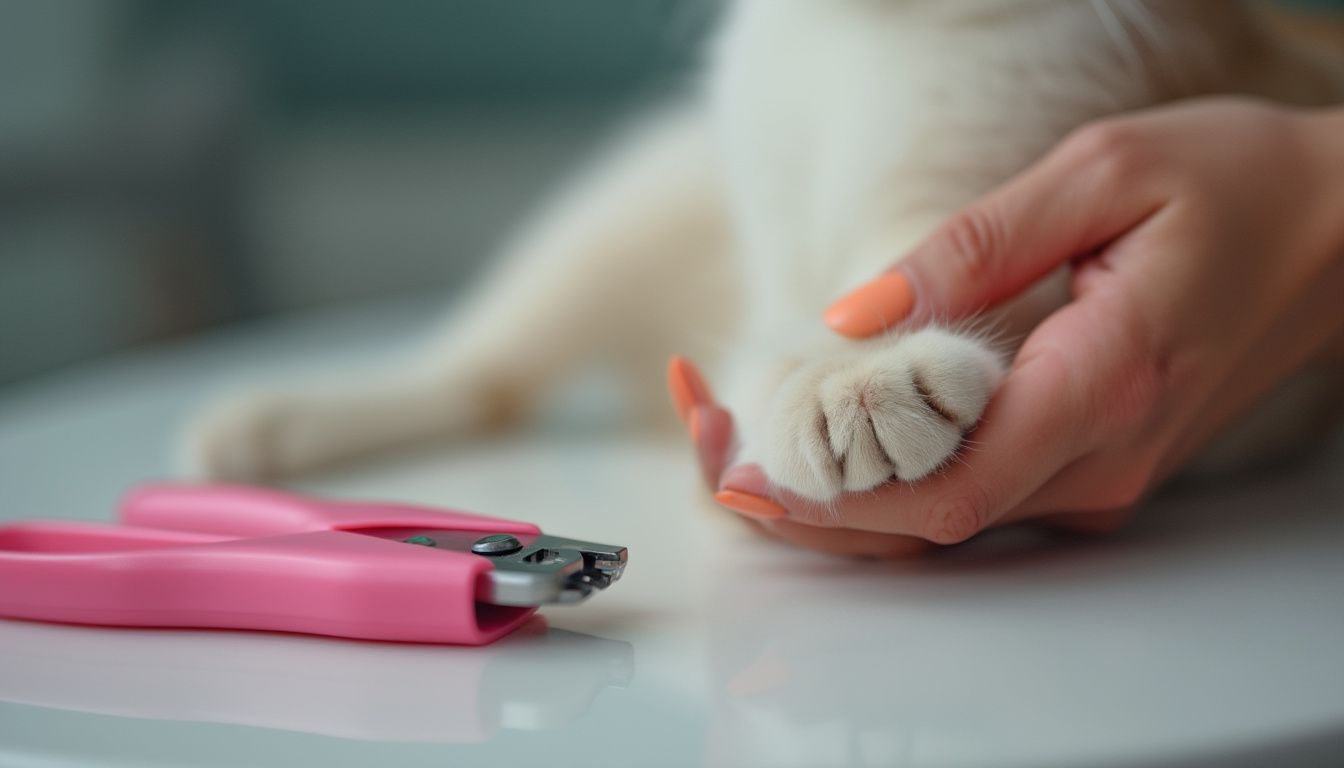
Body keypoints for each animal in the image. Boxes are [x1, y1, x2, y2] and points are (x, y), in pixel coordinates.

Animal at [189, 3, 1344, 508]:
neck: (864, 43)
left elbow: (885, 276)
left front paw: (852, 370)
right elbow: (792, 313)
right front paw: (832, 370)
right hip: (631, 208)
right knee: (487, 376)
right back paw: (280, 419)